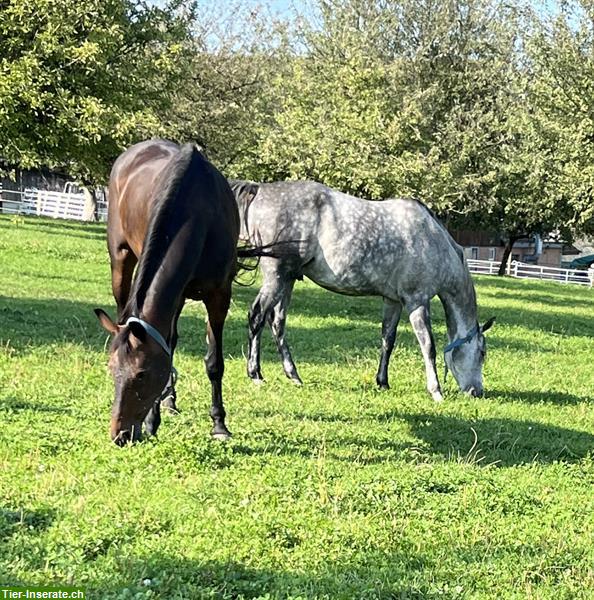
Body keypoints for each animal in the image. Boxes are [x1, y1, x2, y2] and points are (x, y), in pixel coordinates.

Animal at [93, 138, 239, 442]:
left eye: (141, 374)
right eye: (111, 370)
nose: (120, 435)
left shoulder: (219, 294)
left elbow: (214, 362)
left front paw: (219, 424)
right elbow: (168, 348)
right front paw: (152, 420)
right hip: (121, 260)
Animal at [229, 180, 492, 400]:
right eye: (482, 353)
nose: (476, 392)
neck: (432, 239)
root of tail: (260, 189)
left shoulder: (393, 301)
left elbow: (388, 340)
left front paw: (383, 381)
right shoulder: (416, 300)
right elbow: (428, 346)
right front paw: (436, 391)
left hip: (288, 279)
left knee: (277, 322)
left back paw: (293, 375)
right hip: (276, 277)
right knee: (256, 316)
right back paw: (255, 374)